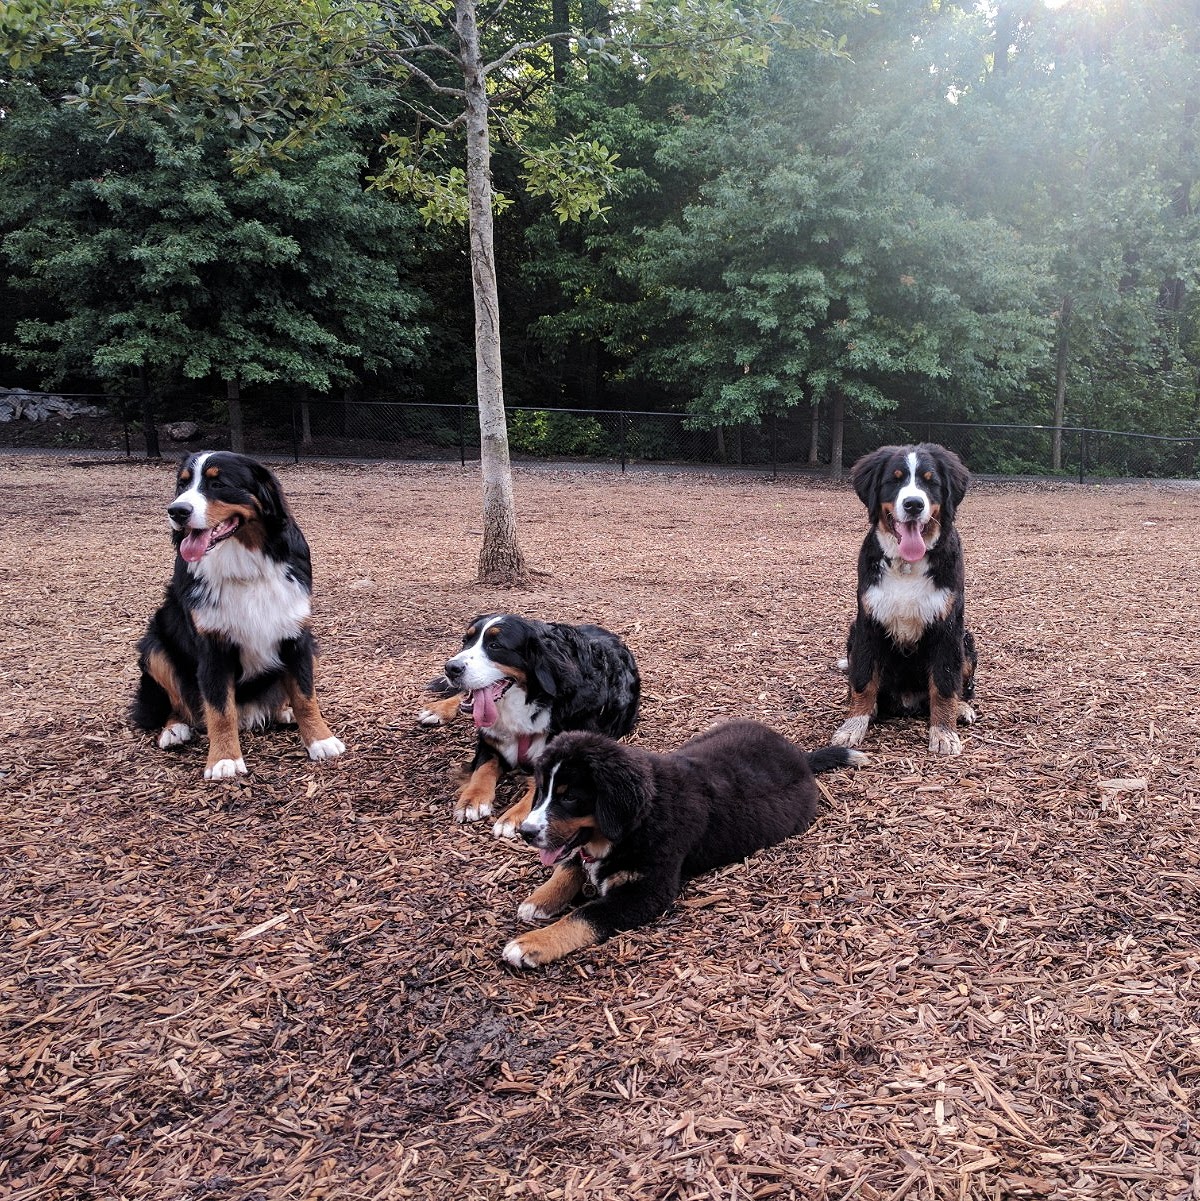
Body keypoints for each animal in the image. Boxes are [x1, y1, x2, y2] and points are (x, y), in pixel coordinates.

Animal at [132, 451, 348, 778]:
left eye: (218, 483)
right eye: (182, 485)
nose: (176, 511)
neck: (244, 569)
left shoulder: (296, 636)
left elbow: (305, 695)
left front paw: (320, 740)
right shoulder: (213, 646)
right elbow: (220, 709)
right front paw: (224, 760)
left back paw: (283, 711)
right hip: (155, 646)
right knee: (179, 703)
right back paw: (174, 730)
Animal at [422, 610, 648, 835]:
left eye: (495, 645)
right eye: (465, 641)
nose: (450, 668)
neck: (531, 700)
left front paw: (512, 817)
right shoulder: (490, 741)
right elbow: (482, 769)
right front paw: (472, 800)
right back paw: (437, 709)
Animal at [499, 715, 864, 970]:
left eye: (570, 797)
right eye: (541, 791)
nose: (526, 832)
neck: (639, 821)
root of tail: (800, 757)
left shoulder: (645, 892)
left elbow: (584, 916)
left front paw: (531, 945)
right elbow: (569, 866)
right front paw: (539, 900)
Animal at [831, 446, 980, 754]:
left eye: (930, 481)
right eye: (895, 479)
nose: (913, 504)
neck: (906, 565)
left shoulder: (948, 628)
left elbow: (945, 684)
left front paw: (944, 732)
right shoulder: (868, 624)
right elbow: (863, 679)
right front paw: (853, 725)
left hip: (966, 641)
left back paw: (961, 708)